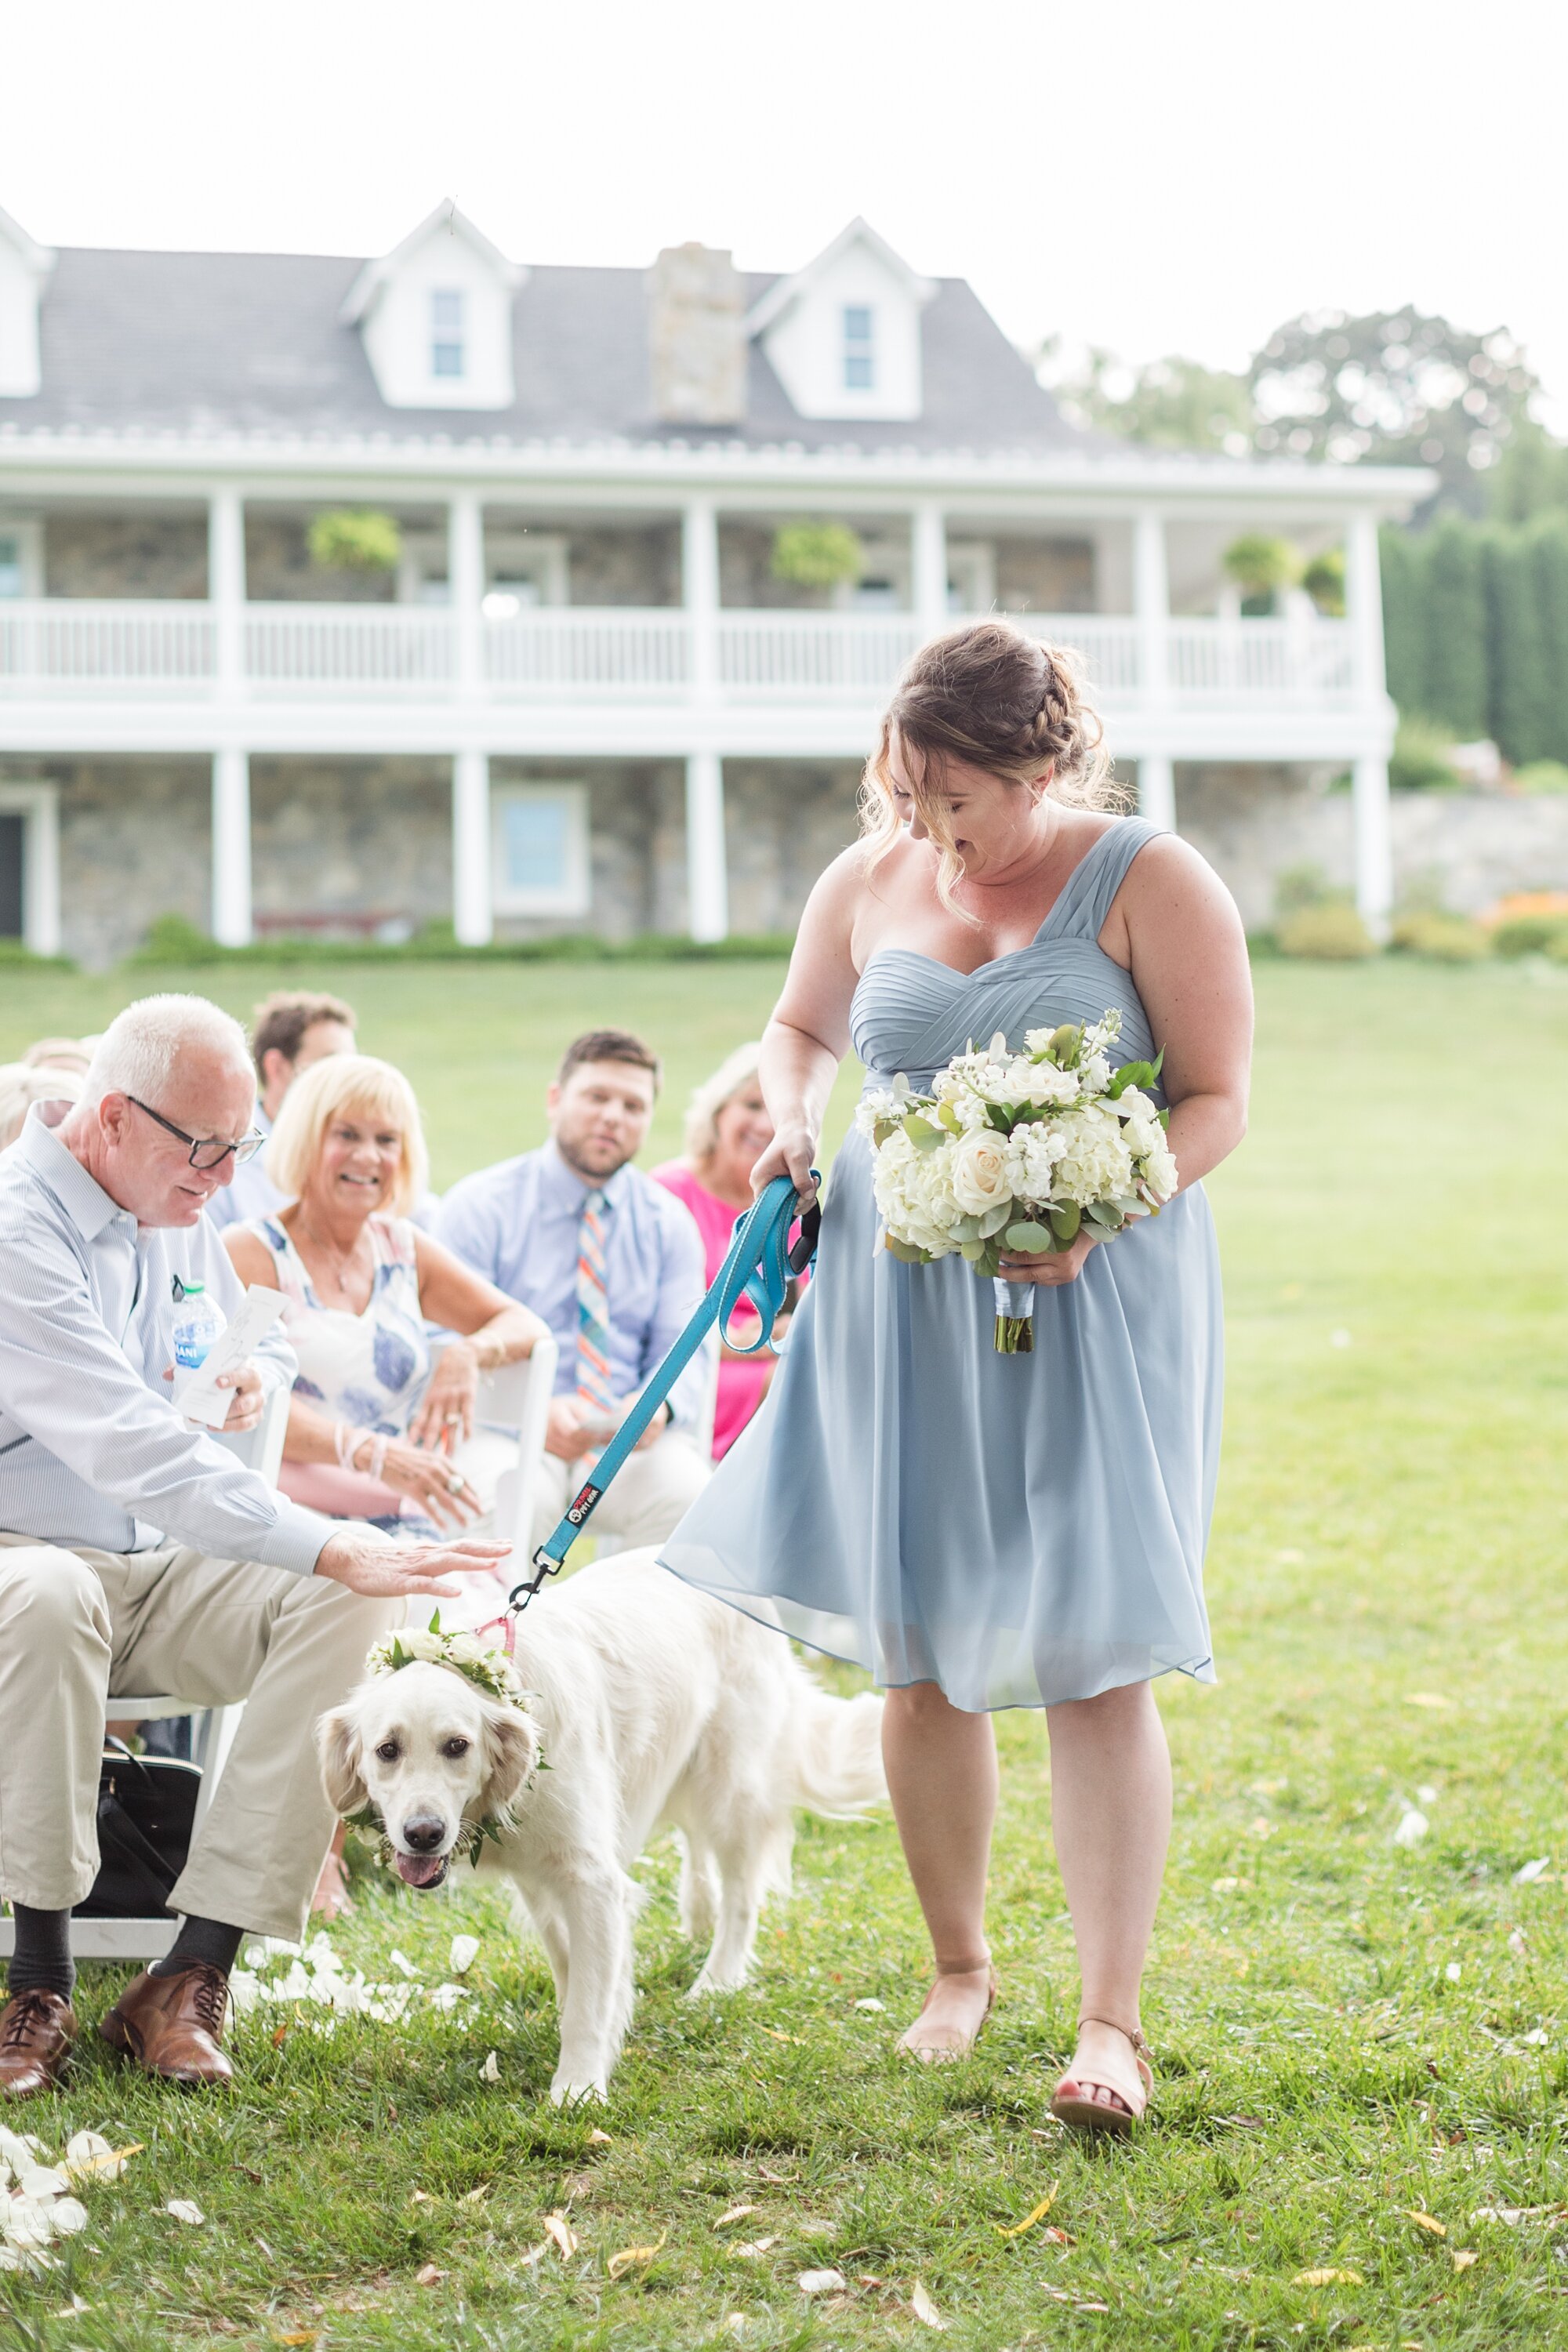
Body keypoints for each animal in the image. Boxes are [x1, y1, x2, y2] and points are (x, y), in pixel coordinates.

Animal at [314, 1552, 888, 2107]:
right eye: (387, 1750)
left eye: (458, 1746)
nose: (423, 1833)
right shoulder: (538, 1878)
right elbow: (571, 1963)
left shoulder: (590, 1879)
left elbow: (589, 2000)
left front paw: (579, 2087)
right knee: (695, 1845)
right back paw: (697, 1915)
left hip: (731, 1788)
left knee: (742, 1897)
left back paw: (716, 1981)